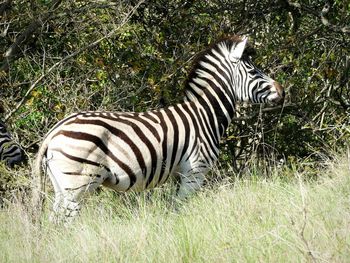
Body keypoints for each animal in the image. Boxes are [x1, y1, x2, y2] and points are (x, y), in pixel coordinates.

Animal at [32, 34, 284, 221]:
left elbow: (174, 208)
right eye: (253, 71)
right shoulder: (195, 171)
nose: (281, 91)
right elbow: (178, 209)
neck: (205, 114)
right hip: (78, 185)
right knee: (64, 223)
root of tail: (54, 131)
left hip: (61, 186)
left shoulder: (179, 173)